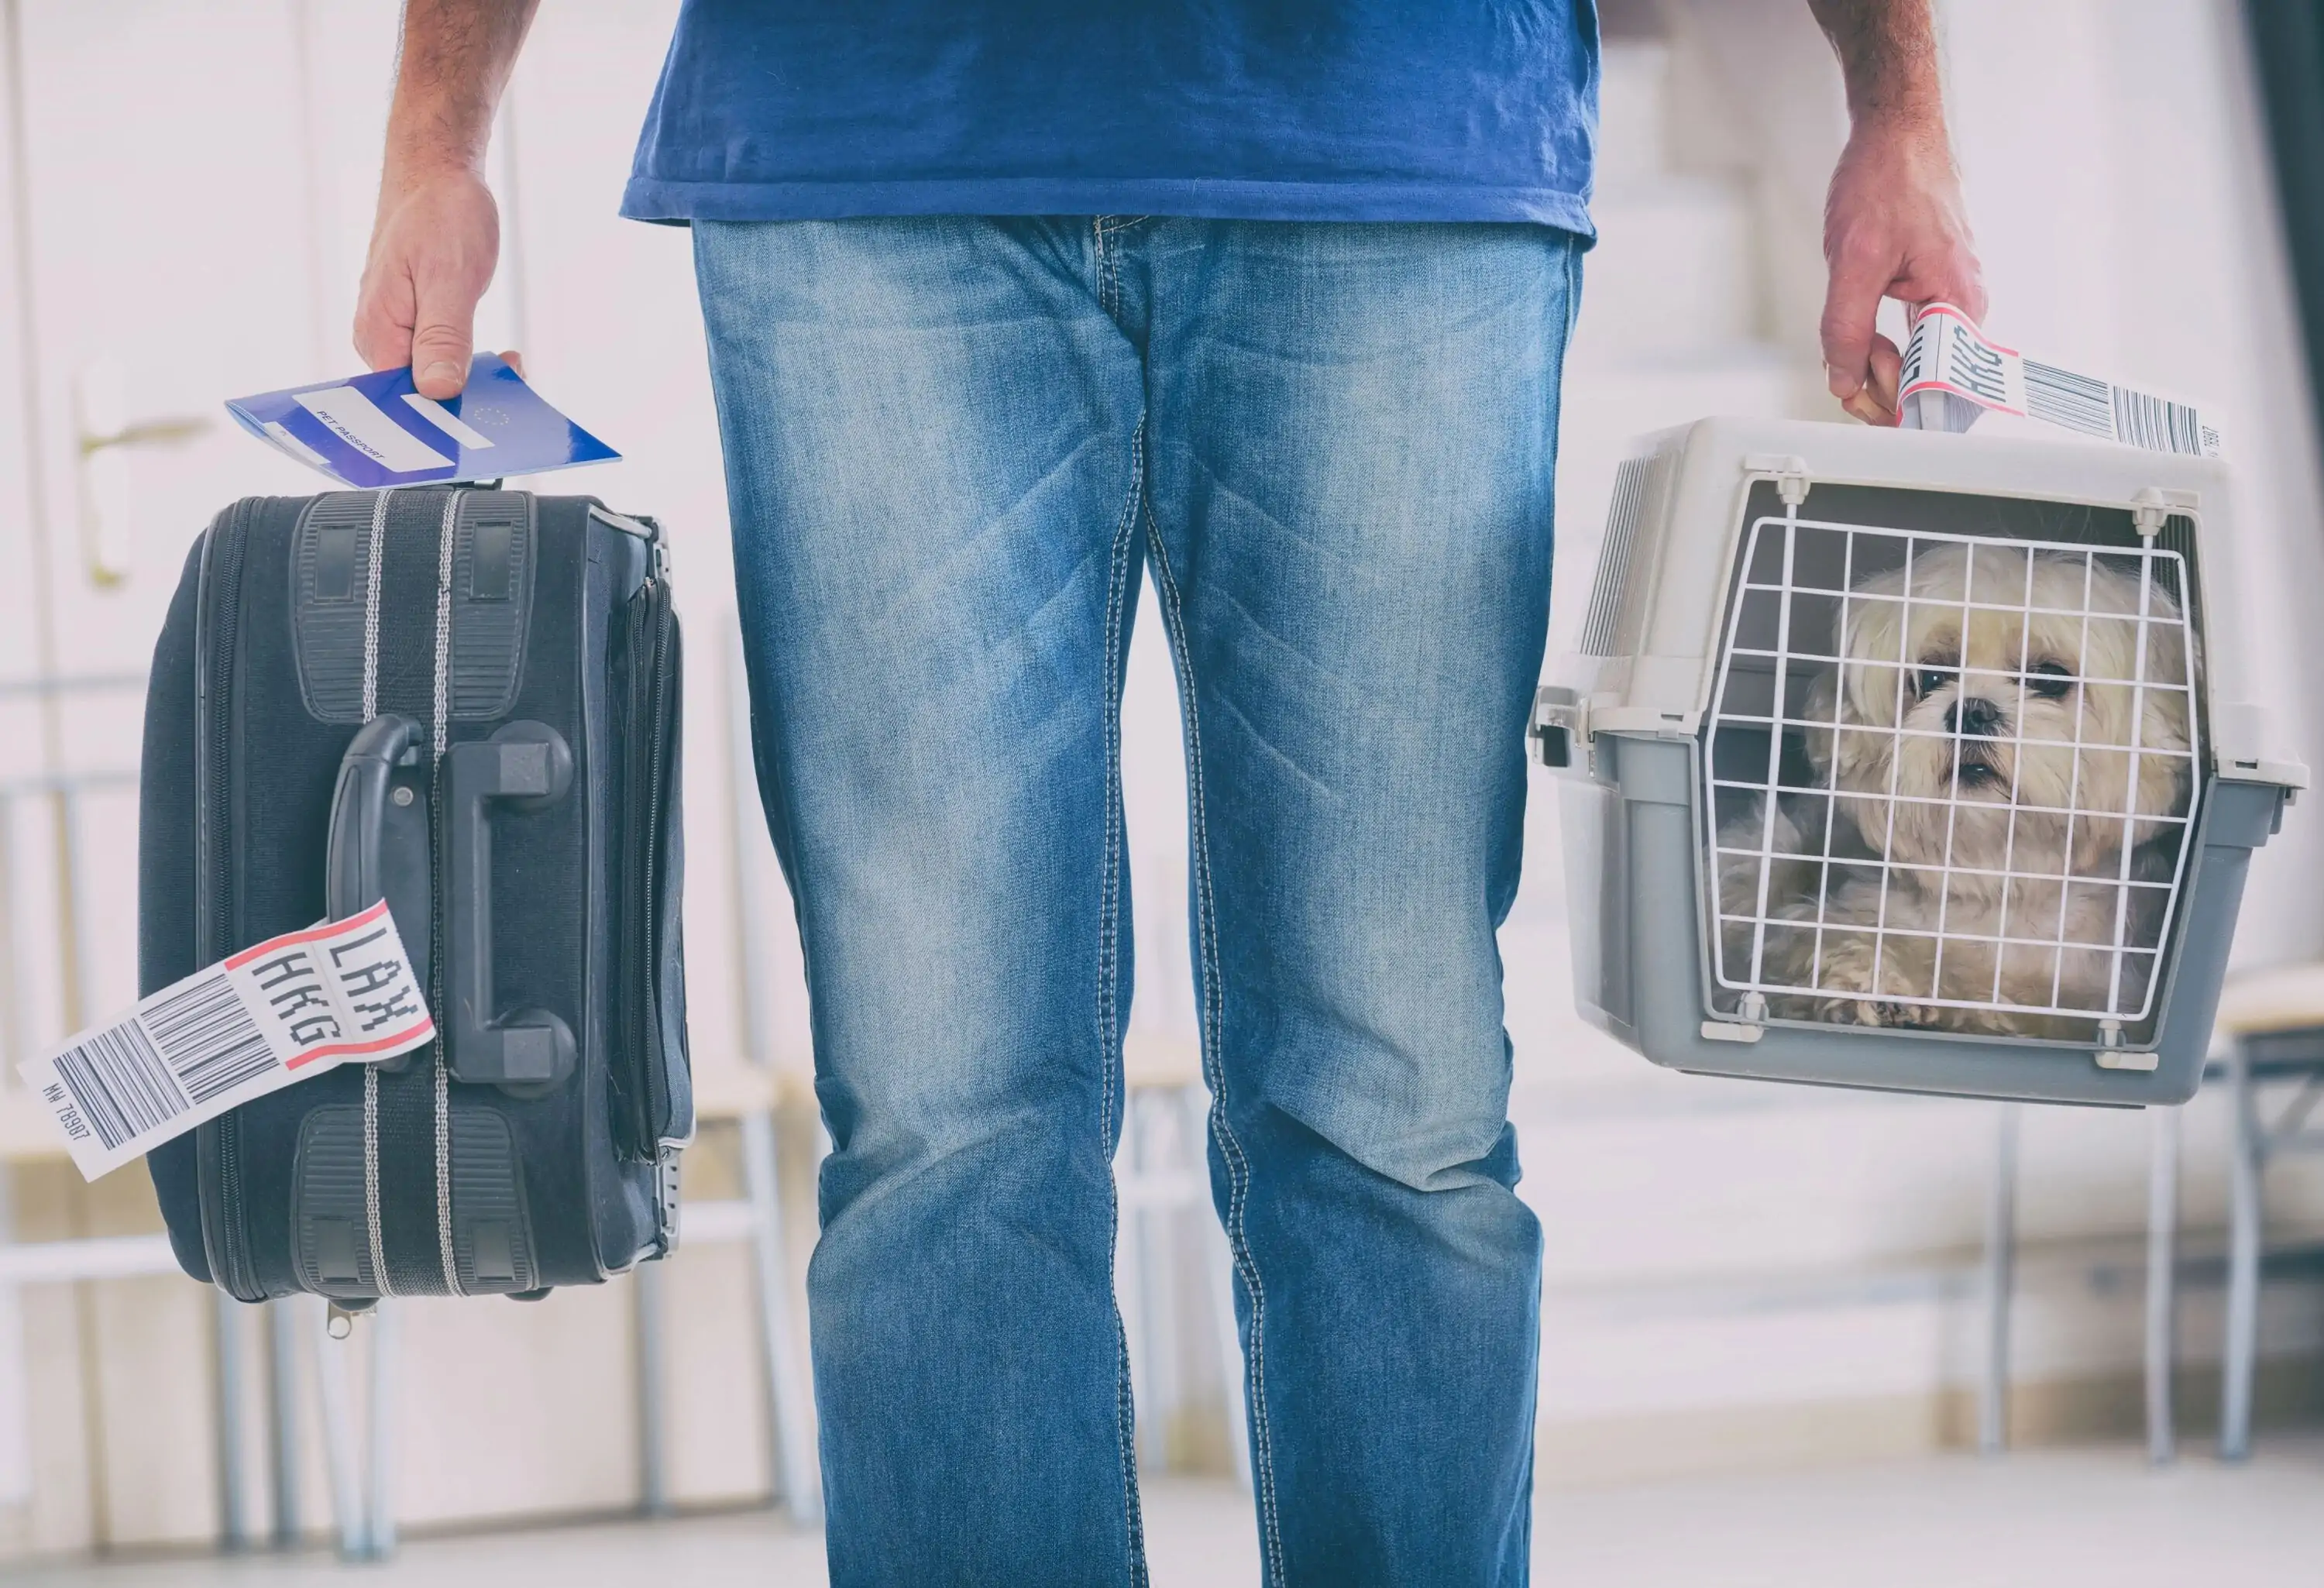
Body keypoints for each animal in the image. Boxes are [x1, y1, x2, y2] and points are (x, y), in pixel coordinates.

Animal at [1729, 539, 2194, 1036]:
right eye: (1932, 676)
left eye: (2050, 678)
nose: (1971, 710)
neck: (1997, 879)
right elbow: (1830, 942)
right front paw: (1876, 986)